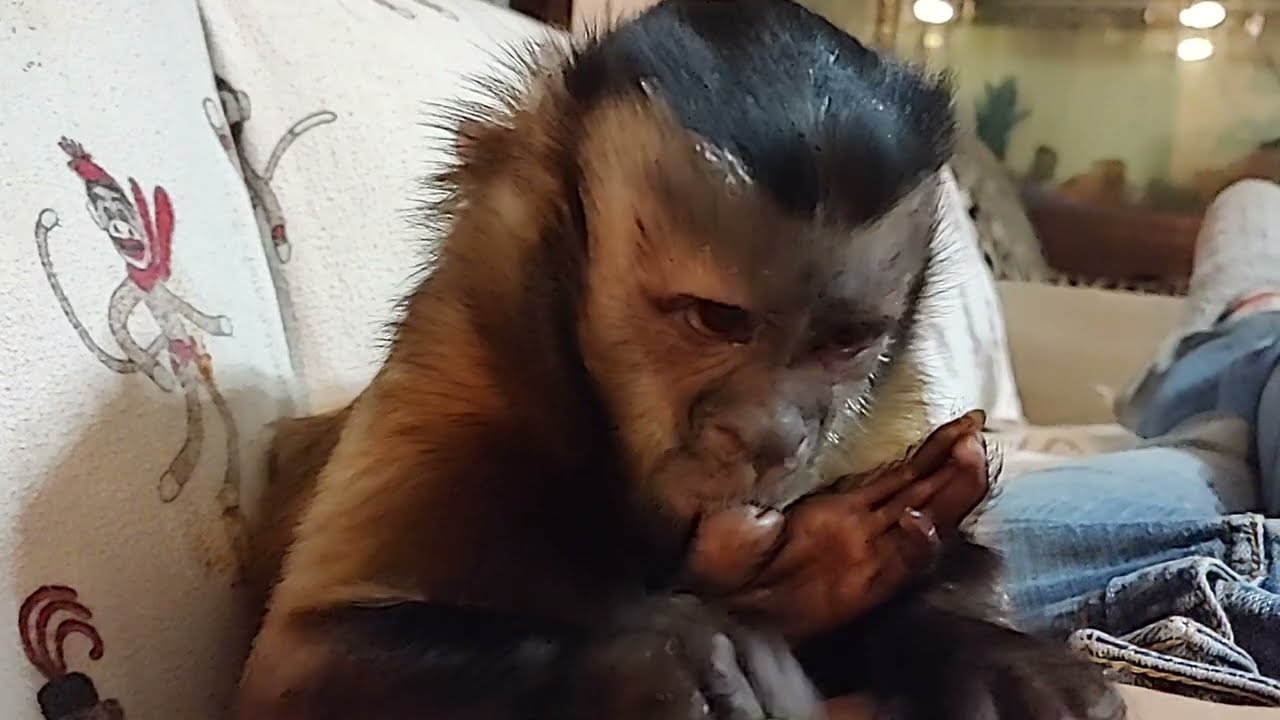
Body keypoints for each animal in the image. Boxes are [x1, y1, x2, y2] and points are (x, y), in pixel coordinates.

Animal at [236, 1, 1126, 719]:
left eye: (842, 342)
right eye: (716, 320)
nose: (772, 439)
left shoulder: (885, 412)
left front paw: (973, 647)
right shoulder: (465, 381)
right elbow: (295, 662)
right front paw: (653, 661)